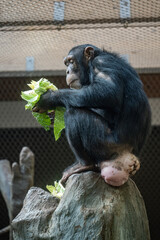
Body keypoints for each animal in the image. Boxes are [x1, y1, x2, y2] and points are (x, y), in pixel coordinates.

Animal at [32, 44, 151, 187]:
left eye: (71, 61)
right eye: (66, 63)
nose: (67, 71)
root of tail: (131, 158)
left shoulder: (101, 63)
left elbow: (108, 92)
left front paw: (48, 98)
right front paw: (53, 113)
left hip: (107, 145)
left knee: (74, 113)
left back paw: (83, 165)